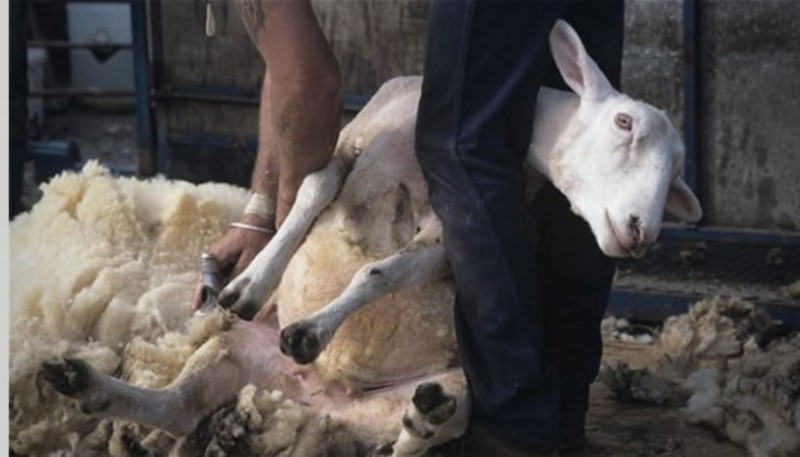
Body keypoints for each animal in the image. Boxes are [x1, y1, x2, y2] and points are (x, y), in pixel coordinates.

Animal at [29, 19, 708, 456]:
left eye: (678, 167)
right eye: (623, 123)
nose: (641, 232)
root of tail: (320, 400)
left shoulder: (454, 224)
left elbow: (386, 271)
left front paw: (312, 330)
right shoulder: (351, 142)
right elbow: (307, 196)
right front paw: (251, 284)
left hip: (452, 387)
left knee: (413, 436)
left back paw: (424, 419)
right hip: (231, 352)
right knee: (177, 405)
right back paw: (82, 384)